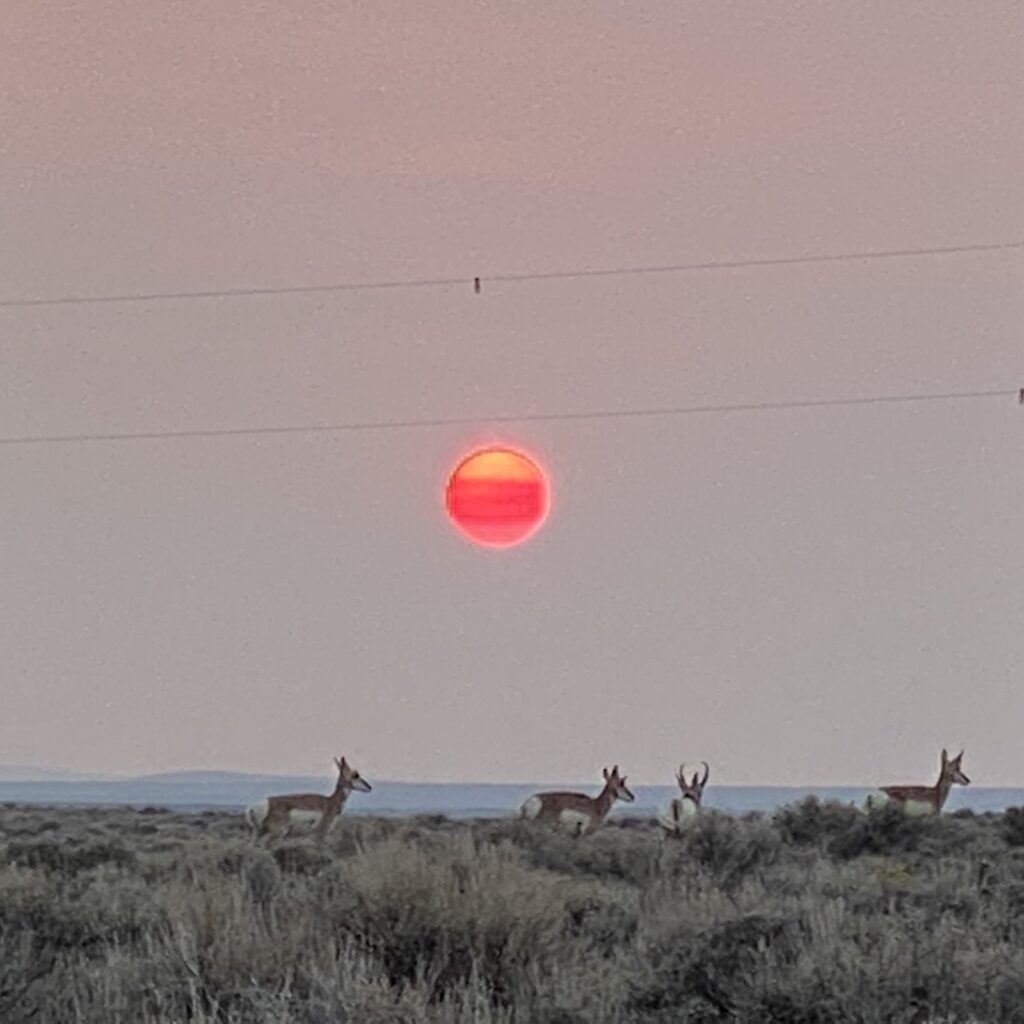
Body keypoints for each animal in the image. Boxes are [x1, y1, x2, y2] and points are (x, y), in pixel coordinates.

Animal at [243, 753, 372, 839]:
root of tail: (262, 803)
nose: (370, 787)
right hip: (276, 833)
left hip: (259, 833)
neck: (330, 802)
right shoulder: (320, 835)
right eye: (356, 775)